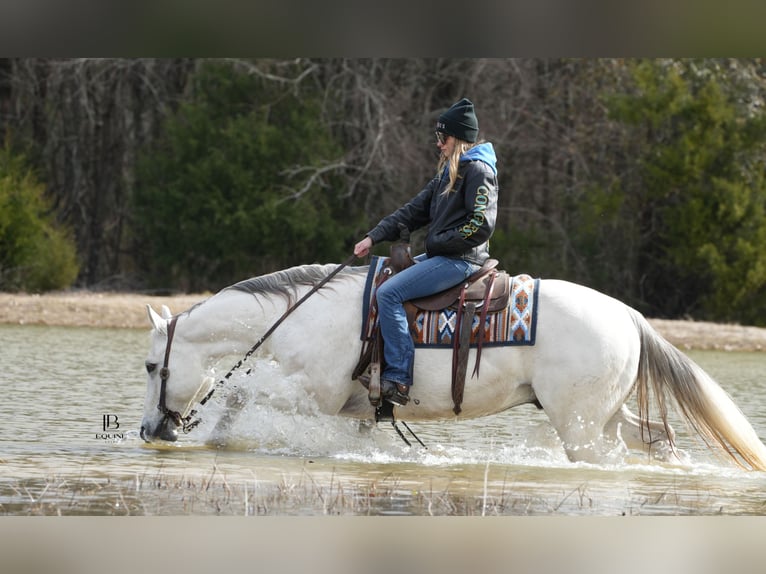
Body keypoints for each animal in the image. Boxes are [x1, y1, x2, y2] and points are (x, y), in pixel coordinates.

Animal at [141, 264, 766, 470]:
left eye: (150, 365)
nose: (150, 429)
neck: (302, 314)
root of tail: (630, 317)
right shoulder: (354, 409)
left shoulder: (314, 395)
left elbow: (238, 402)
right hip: (606, 416)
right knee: (658, 438)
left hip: (582, 427)